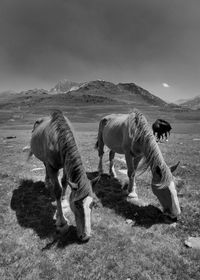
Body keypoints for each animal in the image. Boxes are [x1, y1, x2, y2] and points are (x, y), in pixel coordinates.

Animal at [28, 110, 96, 242]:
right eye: (77, 204)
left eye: (93, 204)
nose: (86, 236)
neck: (58, 138)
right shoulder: (52, 166)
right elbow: (57, 190)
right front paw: (62, 221)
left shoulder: (66, 163)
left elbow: (65, 181)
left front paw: (64, 200)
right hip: (45, 161)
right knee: (46, 168)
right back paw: (47, 182)